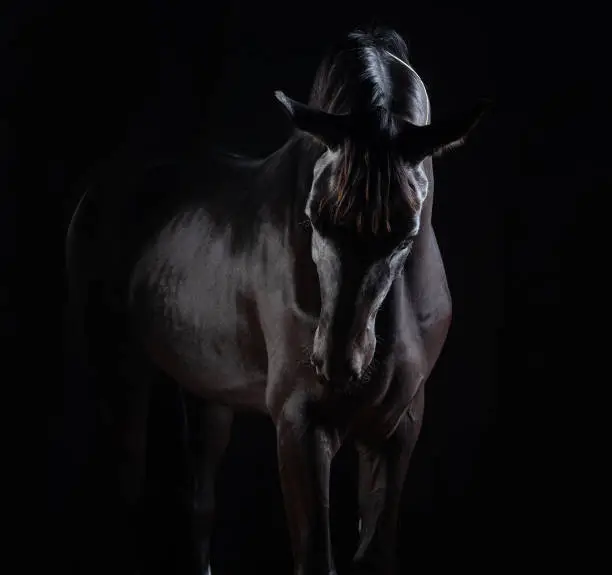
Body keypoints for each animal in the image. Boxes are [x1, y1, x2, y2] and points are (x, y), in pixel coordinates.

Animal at [65, 25, 488, 575]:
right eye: (313, 217)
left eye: (406, 233)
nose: (337, 363)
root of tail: (103, 187)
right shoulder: (301, 425)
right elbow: (314, 556)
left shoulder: (396, 432)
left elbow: (375, 552)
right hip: (121, 377)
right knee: (126, 492)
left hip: (206, 391)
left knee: (198, 505)